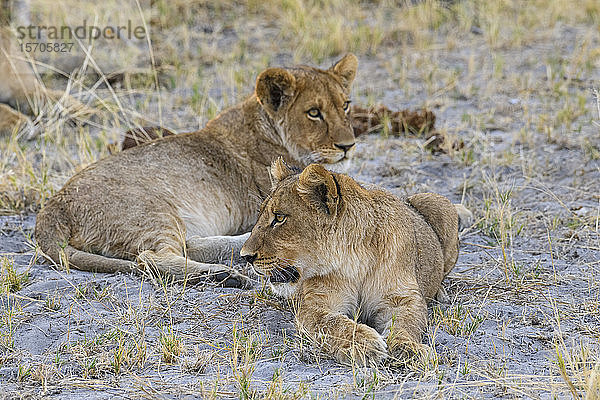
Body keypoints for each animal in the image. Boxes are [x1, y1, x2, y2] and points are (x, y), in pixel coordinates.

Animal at [35, 54, 358, 286]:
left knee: (190, 246)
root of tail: (52, 207)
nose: (348, 145)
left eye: (345, 106)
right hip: (153, 210)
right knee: (151, 258)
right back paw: (225, 275)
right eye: (313, 113)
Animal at [239, 159, 460, 362]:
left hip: (439, 202)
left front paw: (409, 349)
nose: (245, 256)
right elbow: (332, 323)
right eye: (261, 215)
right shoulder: (316, 302)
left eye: (279, 218)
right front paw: (363, 344)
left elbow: (406, 325)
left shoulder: (403, 298)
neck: (357, 258)